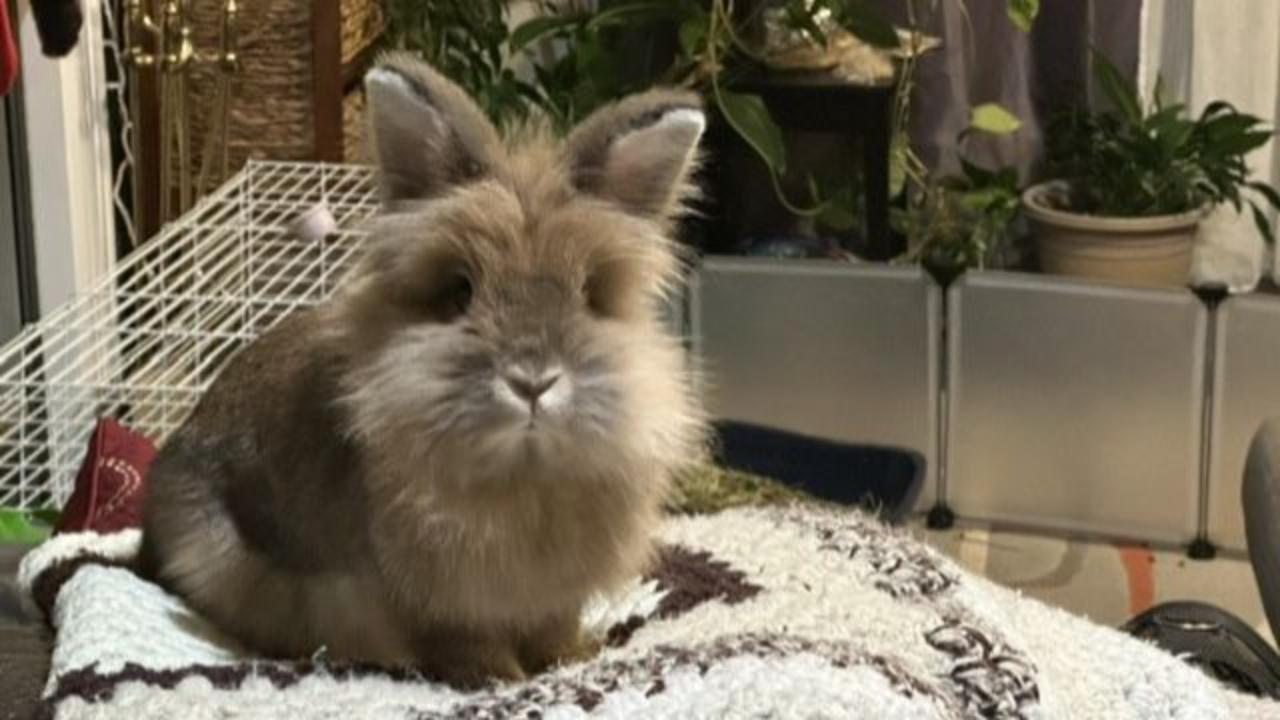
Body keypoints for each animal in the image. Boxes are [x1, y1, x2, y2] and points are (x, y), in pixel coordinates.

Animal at [138, 52, 707, 688]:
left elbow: (554, 632)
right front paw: (503, 679)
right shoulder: (433, 604)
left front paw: (575, 659)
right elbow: (467, 646)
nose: (532, 381)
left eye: (590, 295)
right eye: (459, 291)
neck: (524, 474)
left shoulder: (555, 597)